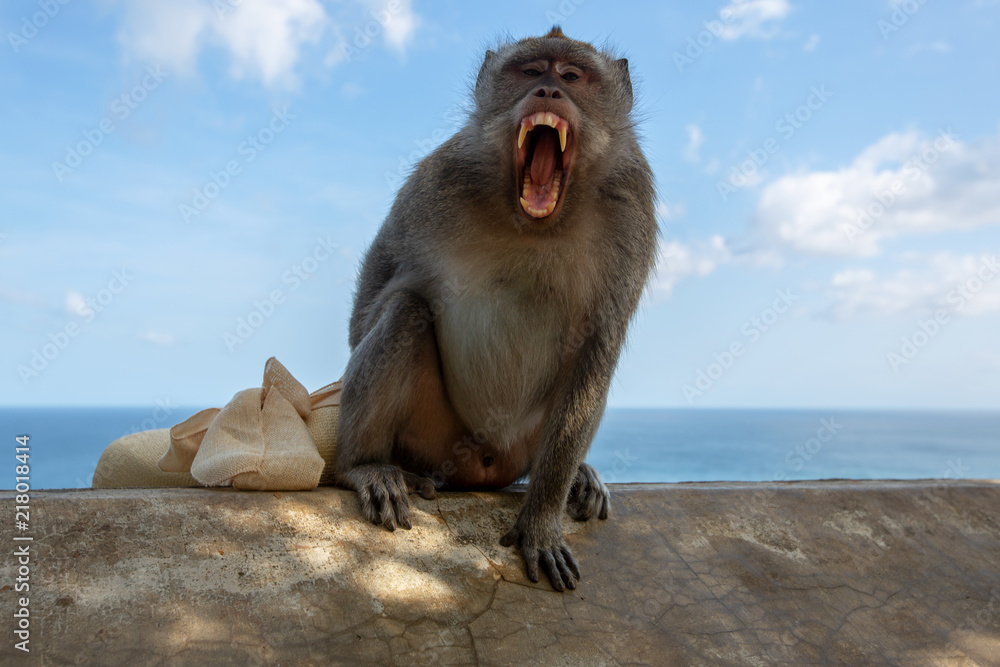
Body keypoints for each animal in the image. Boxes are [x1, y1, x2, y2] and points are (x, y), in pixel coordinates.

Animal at [335, 26, 657, 591]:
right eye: (529, 72)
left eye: (571, 76)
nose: (548, 91)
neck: (536, 221)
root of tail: (483, 466)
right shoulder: (436, 183)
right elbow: (371, 306)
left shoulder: (631, 210)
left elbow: (598, 346)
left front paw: (542, 520)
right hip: (435, 439)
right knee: (405, 311)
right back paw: (367, 465)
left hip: (523, 448)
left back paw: (579, 477)